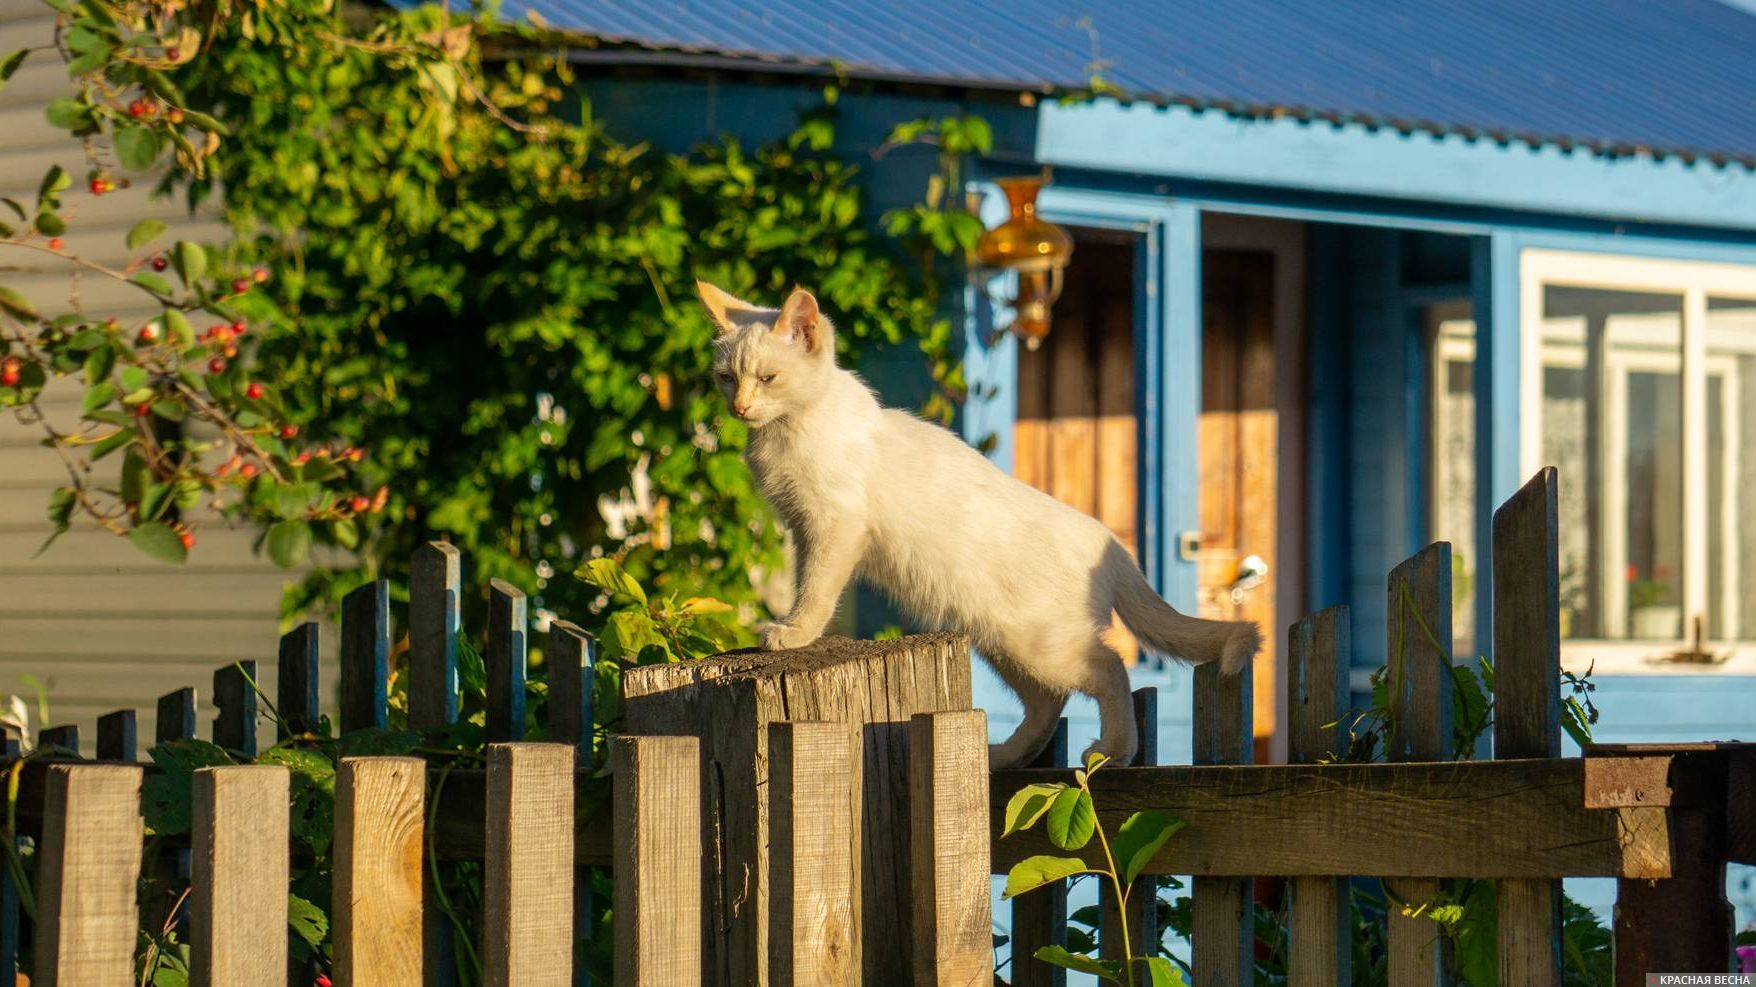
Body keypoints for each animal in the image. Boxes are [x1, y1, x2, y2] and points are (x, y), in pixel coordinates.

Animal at [698, 280, 1264, 765]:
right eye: (727, 378)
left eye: (767, 378)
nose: (740, 406)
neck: (787, 430)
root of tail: (1107, 541)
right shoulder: (802, 528)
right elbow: (806, 581)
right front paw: (794, 626)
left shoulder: (835, 525)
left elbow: (816, 589)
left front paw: (794, 632)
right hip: (1005, 642)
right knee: (1048, 703)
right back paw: (1003, 756)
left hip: (1042, 643)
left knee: (1109, 668)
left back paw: (1113, 750)